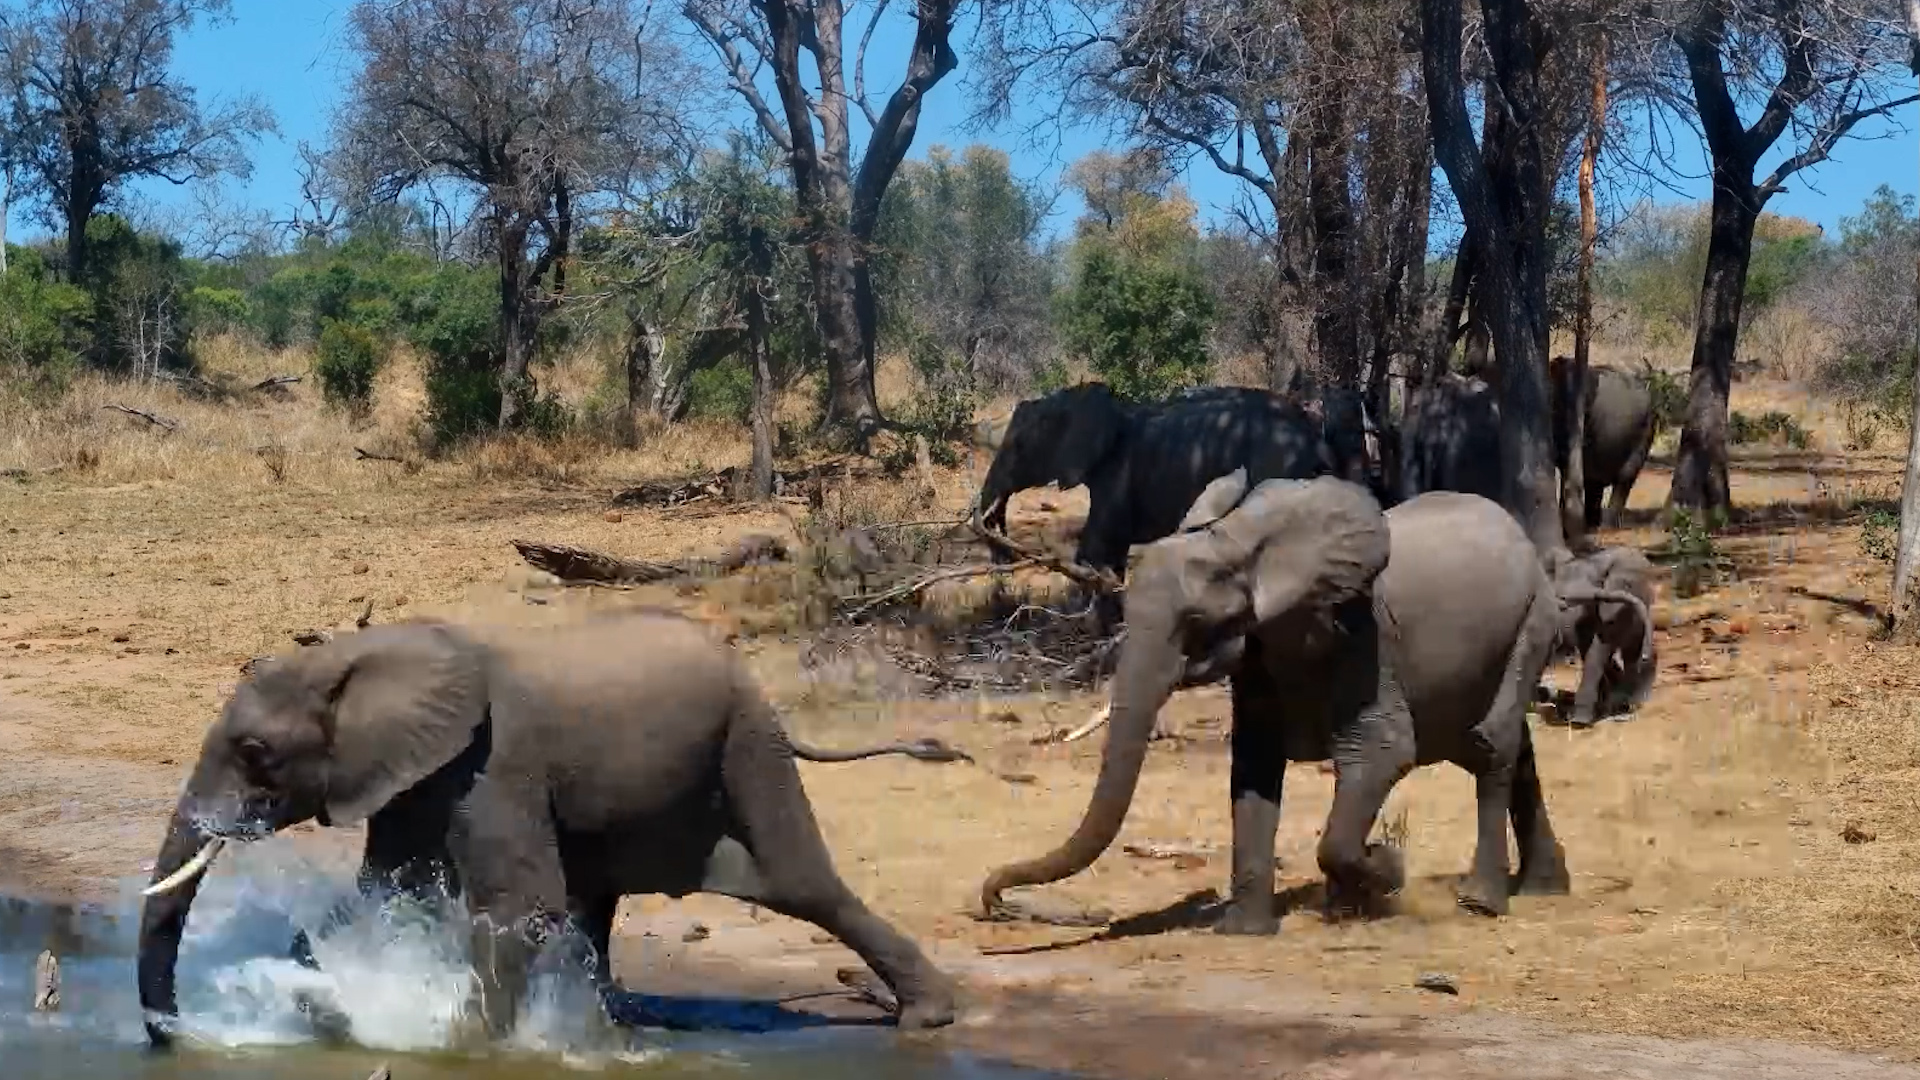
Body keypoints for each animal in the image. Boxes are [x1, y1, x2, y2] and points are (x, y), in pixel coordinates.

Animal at [135, 611, 961, 1049]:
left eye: (255, 753)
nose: (169, 1032)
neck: (354, 657)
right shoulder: (413, 778)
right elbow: (384, 891)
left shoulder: (496, 766)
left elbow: (517, 908)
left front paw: (464, 1044)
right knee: (598, 903)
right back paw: (605, 1029)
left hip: (748, 748)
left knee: (803, 884)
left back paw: (929, 1018)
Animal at [980, 474, 1577, 931]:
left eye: (1194, 623)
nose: (997, 902)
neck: (1247, 547)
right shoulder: (1261, 657)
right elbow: (1253, 767)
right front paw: (1245, 930)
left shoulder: (1362, 639)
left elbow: (1381, 753)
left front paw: (1387, 870)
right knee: (1512, 749)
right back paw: (1543, 887)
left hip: (1534, 618)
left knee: (1493, 744)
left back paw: (1480, 902)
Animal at [1546, 545, 1659, 727]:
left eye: (1597, 585)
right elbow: (1589, 647)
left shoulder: (1617, 605)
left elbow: (1598, 649)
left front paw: (1579, 722)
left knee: (1632, 653)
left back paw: (1633, 702)